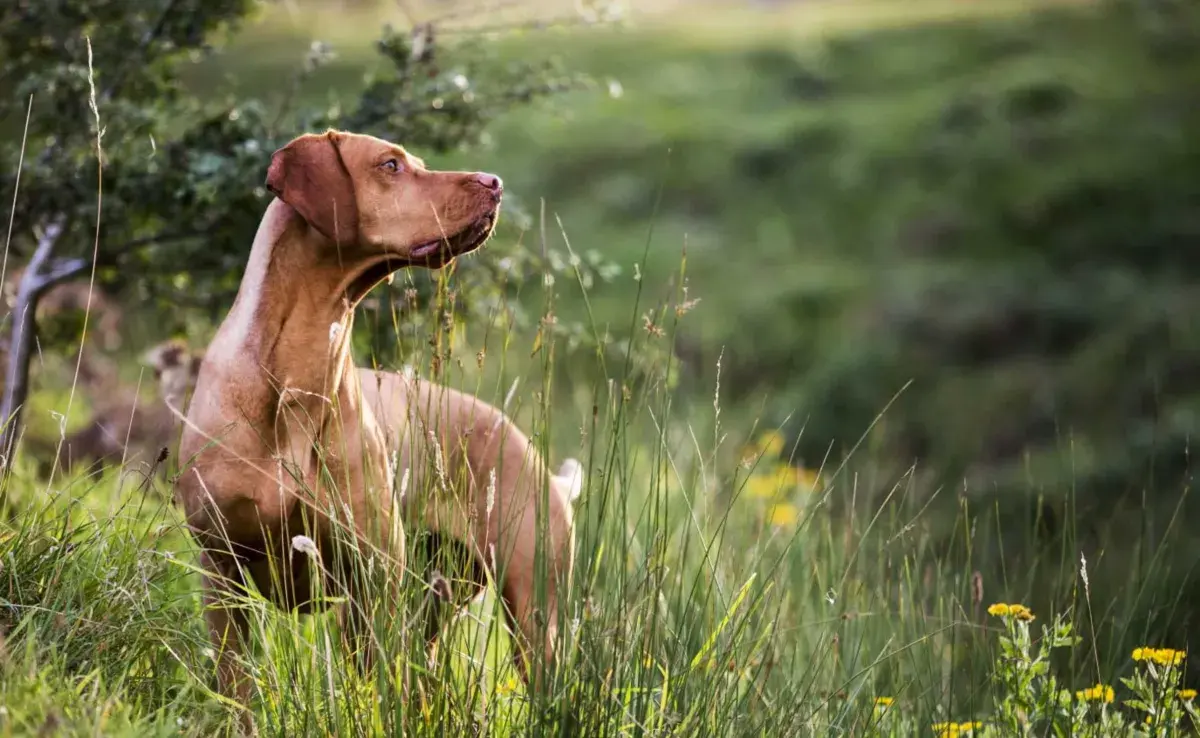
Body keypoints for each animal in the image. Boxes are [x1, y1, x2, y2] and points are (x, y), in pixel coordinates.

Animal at [177, 128, 585, 734]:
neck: (294, 381)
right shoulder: (221, 573)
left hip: (533, 613)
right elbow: (238, 687)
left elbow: (372, 689)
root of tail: (530, 451)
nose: (494, 182)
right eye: (391, 165)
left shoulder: (371, 581)